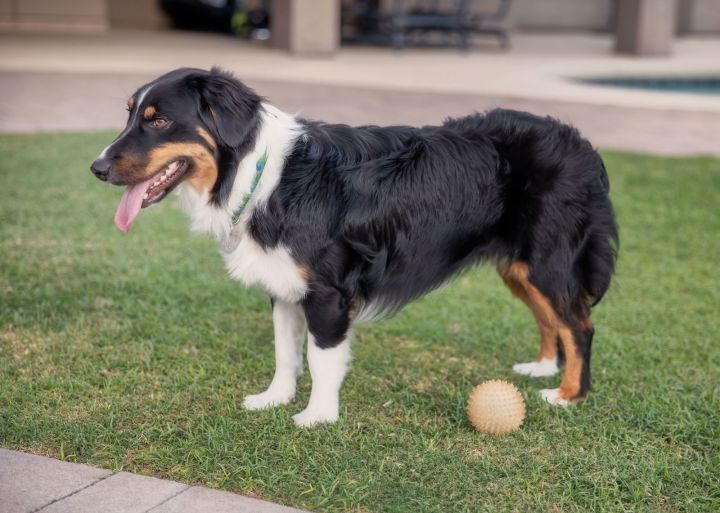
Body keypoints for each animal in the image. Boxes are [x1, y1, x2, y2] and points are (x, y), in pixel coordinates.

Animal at [90, 69, 620, 428]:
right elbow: (286, 352)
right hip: (520, 264)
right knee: (551, 317)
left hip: (546, 260)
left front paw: (317, 416)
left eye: (160, 121)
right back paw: (542, 367)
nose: (96, 168)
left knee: (579, 325)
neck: (263, 178)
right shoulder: (284, 286)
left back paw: (568, 394)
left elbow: (322, 357)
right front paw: (275, 399)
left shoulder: (328, 292)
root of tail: (582, 144)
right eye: (131, 114)